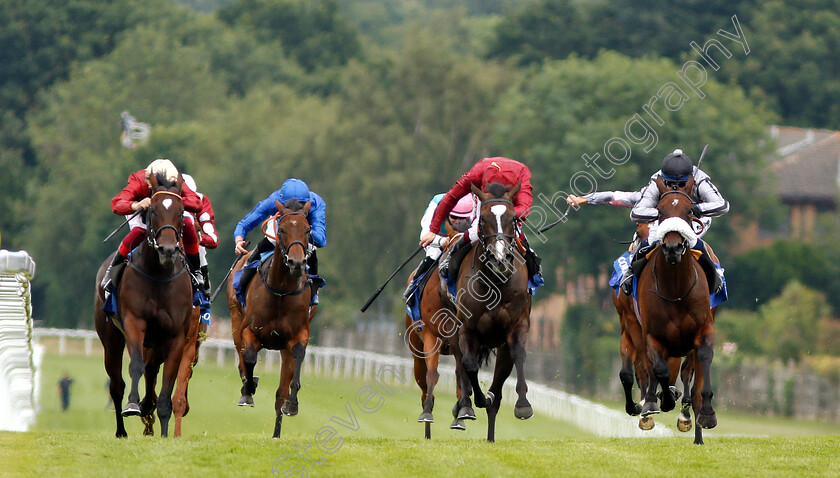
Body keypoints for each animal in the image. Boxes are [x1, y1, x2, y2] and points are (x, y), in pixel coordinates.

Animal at [94, 172, 193, 436]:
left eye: (181, 212)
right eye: (154, 211)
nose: (168, 250)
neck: (159, 274)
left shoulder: (175, 336)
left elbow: (167, 382)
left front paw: (164, 428)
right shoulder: (134, 323)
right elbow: (137, 365)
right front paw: (132, 405)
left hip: (156, 341)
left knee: (152, 369)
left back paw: (148, 405)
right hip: (111, 337)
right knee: (117, 384)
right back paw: (121, 430)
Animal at [226, 198, 312, 436]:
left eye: (307, 230)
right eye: (282, 229)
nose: (296, 263)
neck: (281, 290)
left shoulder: (298, 335)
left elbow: (298, 356)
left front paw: (292, 404)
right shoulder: (249, 330)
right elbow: (249, 357)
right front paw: (248, 391)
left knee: (279, 394)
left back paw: (276, 433)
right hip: (235, 318)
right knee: (241, 354)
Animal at [406, 215, 476, 438]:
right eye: (450, 250)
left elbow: (463, 374)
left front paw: (462, 411)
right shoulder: (431, 334)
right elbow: (432, 374)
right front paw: (427, 412)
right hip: (416, 349)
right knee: (422, 378)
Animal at [452, 182, 532, 440]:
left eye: (513, 218)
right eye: (483, 219)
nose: (499, 259)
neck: (495, 282)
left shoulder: (517, 325)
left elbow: (519, 354)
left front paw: (523, 405)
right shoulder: (467, 329)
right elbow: (469, 364)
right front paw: (474, 402)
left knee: (498, 387)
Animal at [640, 176, 720, 444]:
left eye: (688, 211)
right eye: (660, 212)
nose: (673, 247)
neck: (676, 288)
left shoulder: (704, 330)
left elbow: (702, 363)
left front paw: (706, 414)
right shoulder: (652, 336)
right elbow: (660, 370)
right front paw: (662, 400)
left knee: (690, 375)